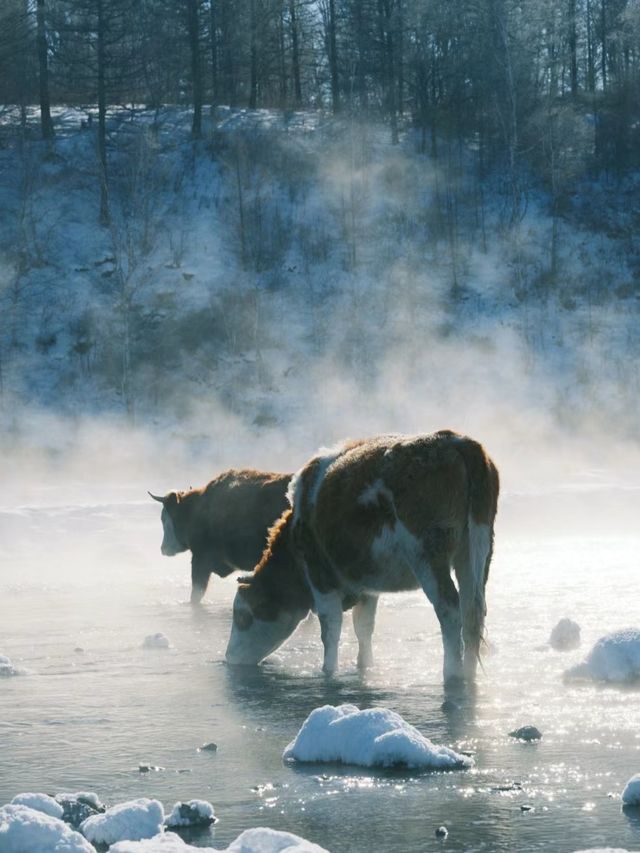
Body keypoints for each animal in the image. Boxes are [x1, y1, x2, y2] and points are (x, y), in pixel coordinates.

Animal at [225, 430, 500, 684]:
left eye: (241, 616)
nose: (229, 657)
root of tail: (452, 439)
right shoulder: (367, 583)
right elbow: (363, 627)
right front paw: (364, 666)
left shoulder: (319, 576)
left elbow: (330, 628)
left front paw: (328, 671)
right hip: (477, 551)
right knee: (473, 610)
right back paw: (468, 675)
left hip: (428, 554)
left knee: (449, 608)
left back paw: (451, 674)